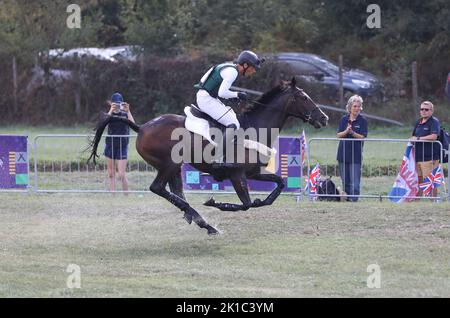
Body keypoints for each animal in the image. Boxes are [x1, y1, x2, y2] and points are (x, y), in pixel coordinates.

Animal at [88, 78, 326, 235]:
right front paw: (215, 203)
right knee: (158, 188)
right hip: (169, 164)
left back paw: (197, 218)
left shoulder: (253, 172)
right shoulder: (237, 174)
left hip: (174, 167)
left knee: (176, 191)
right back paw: (197, 217)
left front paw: (262, 199)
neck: (256, 127)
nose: (324, 118)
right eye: (303, 97)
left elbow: (277, 185)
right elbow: (246, 204)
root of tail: (142, 127)